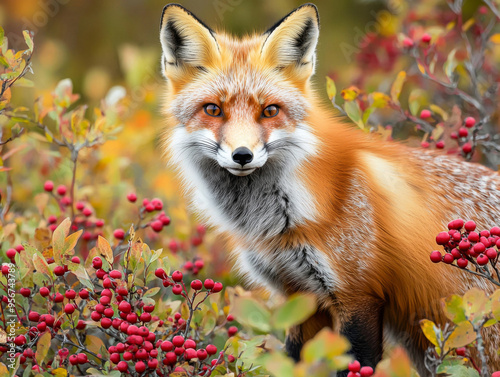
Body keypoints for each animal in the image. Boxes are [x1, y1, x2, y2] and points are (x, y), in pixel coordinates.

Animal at [159, 2, 500, 374]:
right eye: (213, 109)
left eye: (270, 111)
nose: (243, 155)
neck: (282, 221)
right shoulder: (299, 297)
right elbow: (293, 361)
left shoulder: (358, 296)